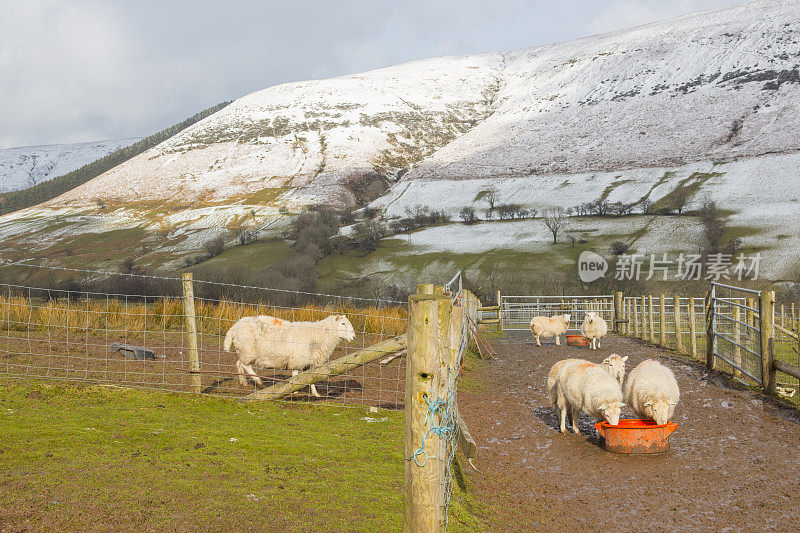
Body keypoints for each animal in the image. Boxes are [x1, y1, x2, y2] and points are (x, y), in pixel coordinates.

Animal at [222, 312, 354, 394]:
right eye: (343, 323)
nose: (353, 337)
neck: (319, 335)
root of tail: (234, 326)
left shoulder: (305, 361)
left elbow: (309, 378)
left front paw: (315, 393)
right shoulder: (298, 360)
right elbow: (296, 376)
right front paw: (294, 390)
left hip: (244, 351)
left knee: (239, 363)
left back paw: (243, 382)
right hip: (248, 350)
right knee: (245, 365)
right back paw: (258, 381)